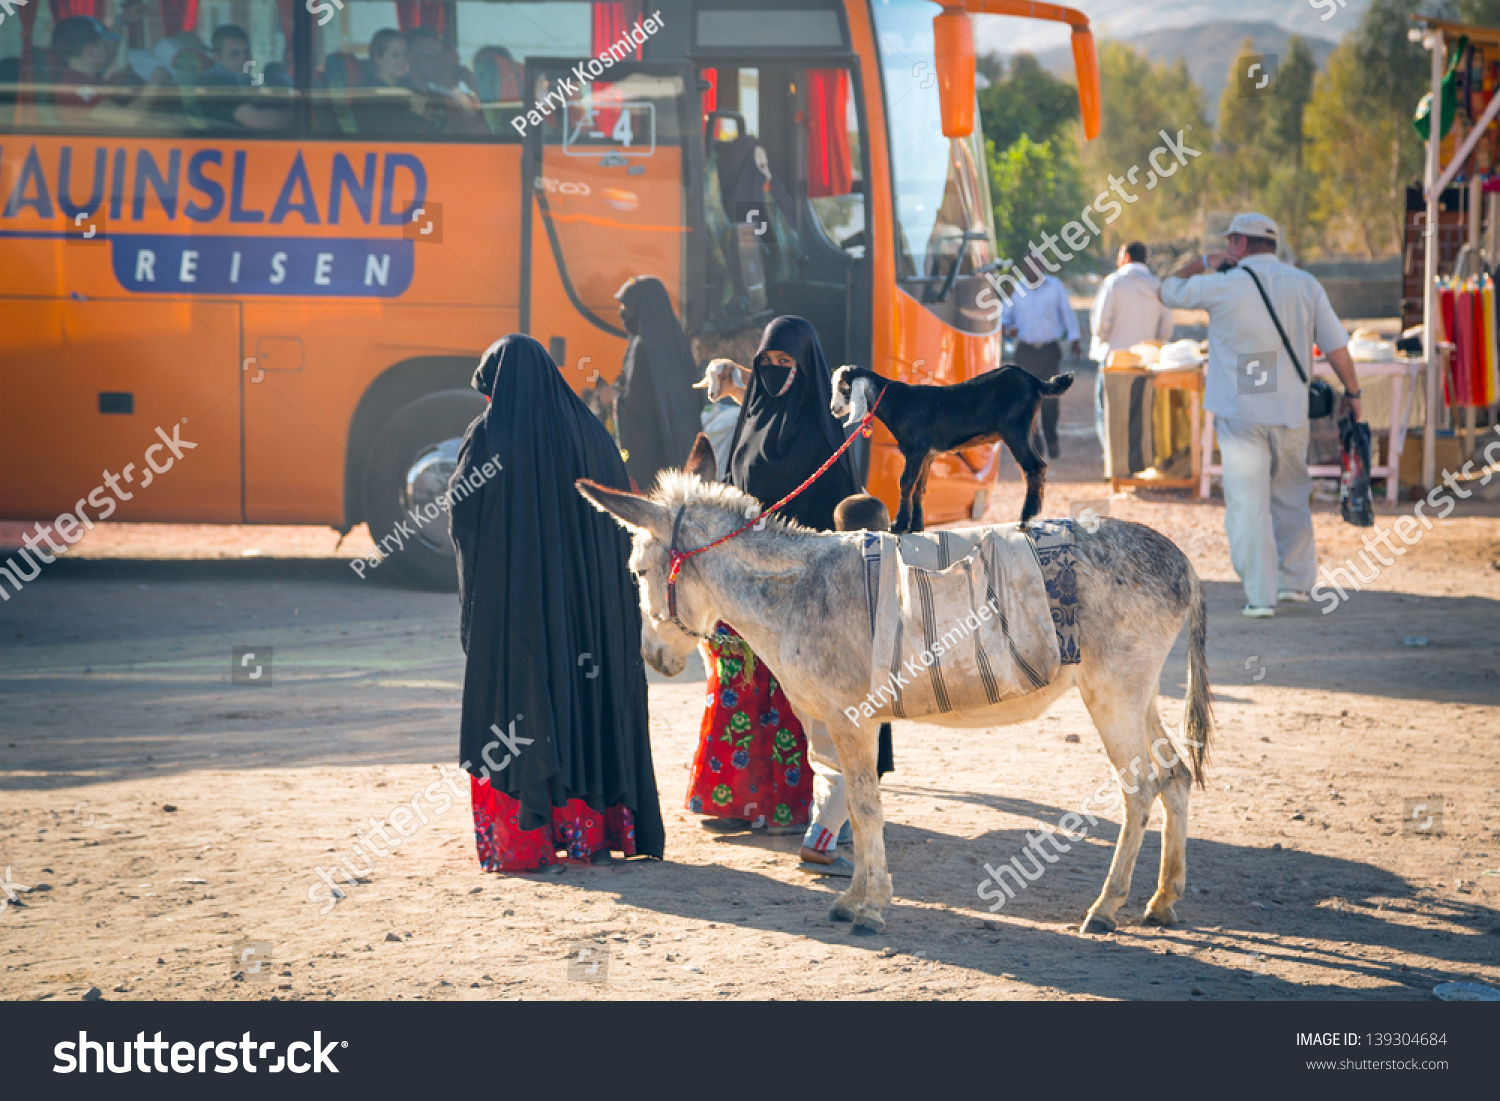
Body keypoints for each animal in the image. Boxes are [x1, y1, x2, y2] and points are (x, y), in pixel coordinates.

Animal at [828, 364, 1074, 534]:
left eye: (845, 388)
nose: (833, 409)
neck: (897, 402)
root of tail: (1034, 381)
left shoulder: (915, 449)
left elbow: (906, 482)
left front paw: (898, 526)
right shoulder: (928, 455)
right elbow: (920, 487)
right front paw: (916, 526)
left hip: (1015, 430)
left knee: (1033, 468)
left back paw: (1025, 520)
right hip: (1024, 430)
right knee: (1040, 467)